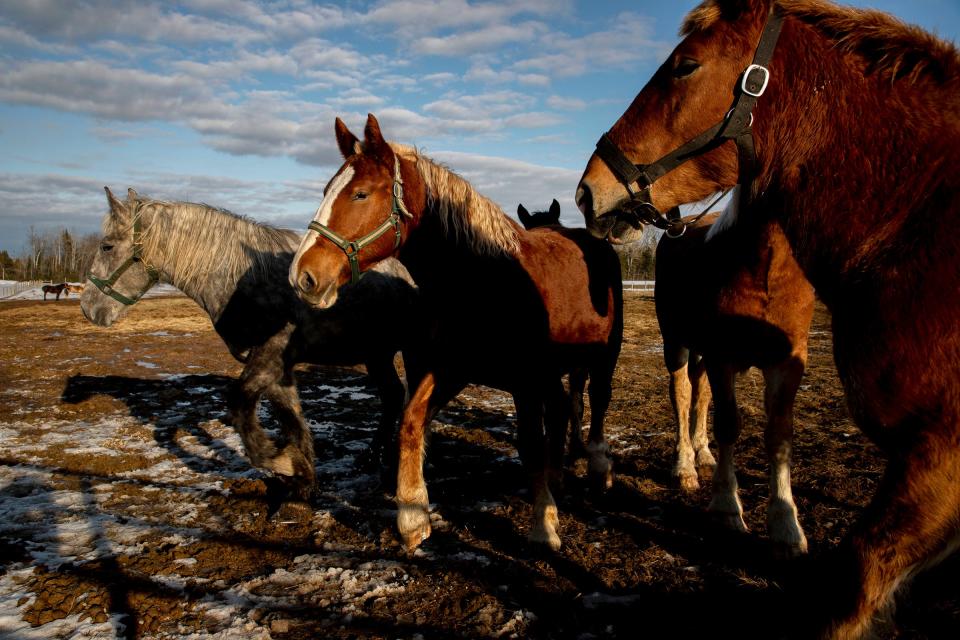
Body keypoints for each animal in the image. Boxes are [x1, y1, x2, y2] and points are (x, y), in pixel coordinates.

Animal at [84, 188, 422, 498]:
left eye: (107, 246)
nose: (89, 308)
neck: (243, 280)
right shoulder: (275, 368)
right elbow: (292, 419)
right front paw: (303, 476)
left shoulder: (268, 358)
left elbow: (239, 406)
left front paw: (282, 462)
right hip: (377, 354)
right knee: (393, 396)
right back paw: (371, 458)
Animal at [290, 114, 624, 552]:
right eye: (326, 190)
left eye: (360, 194)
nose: (303, 275)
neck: (480, 281)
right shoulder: (448, 369)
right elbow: (411, 422)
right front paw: (413, 516)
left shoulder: (526, 382)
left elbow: (531, 445)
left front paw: (544, 524)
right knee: (566, 411)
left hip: (603, 356)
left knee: (598, 403)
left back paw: (599, 470)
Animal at [652, 209, 808, 556]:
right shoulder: (721, 357)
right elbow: (727, 424)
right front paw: (727, 508)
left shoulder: (788, 362)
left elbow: (779, 436)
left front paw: (786, 525)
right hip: (677, 342)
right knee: (682, 394)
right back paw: (685, 466)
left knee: (700, 394)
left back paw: (703, 454)